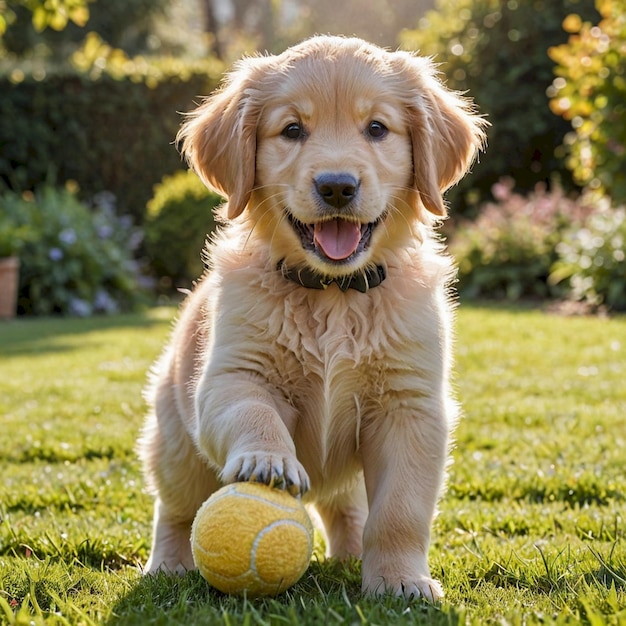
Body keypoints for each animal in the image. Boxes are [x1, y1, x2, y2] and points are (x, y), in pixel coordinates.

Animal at [139, 35, 486, 600]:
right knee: (177, 509)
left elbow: (400, 510)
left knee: (347, 508)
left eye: (377, 128)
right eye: (292, 130)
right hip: (175, 446)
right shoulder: (230, 377)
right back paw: (168, 565)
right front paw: (268, 460)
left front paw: (400, 581)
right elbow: (251, 411)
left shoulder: (410, 408)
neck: (333, 295)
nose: (337, 186)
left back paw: (350, 557)